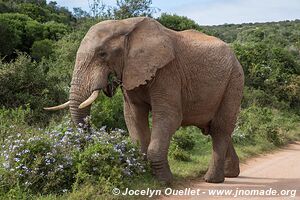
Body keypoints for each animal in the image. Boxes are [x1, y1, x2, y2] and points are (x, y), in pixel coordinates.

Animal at [45, 16, 245, 183]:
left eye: (102, 54)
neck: (125, 25)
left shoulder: (168, 71)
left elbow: (169, 117)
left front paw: (165, 181)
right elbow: (133, 116)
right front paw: (142, 174)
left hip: (235, 80)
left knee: (220, 128)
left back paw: (212, 180)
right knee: (214, 129)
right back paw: (231, 173)